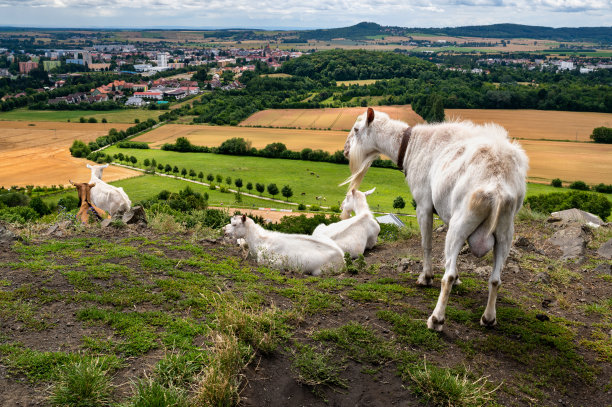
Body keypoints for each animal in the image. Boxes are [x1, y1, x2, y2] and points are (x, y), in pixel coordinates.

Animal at [342, 108, 528, 332]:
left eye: (356, 129)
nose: (345, 151)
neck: (411, 145)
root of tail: (498, 185)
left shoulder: (423, 204)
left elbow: (426, 244)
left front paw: (426, 277)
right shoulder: (446, 212)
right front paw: (457, 278)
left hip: (461, 224)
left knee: (447, 276)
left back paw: (436, 319)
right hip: (504, 232)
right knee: (495, 279)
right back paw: (488, 318)